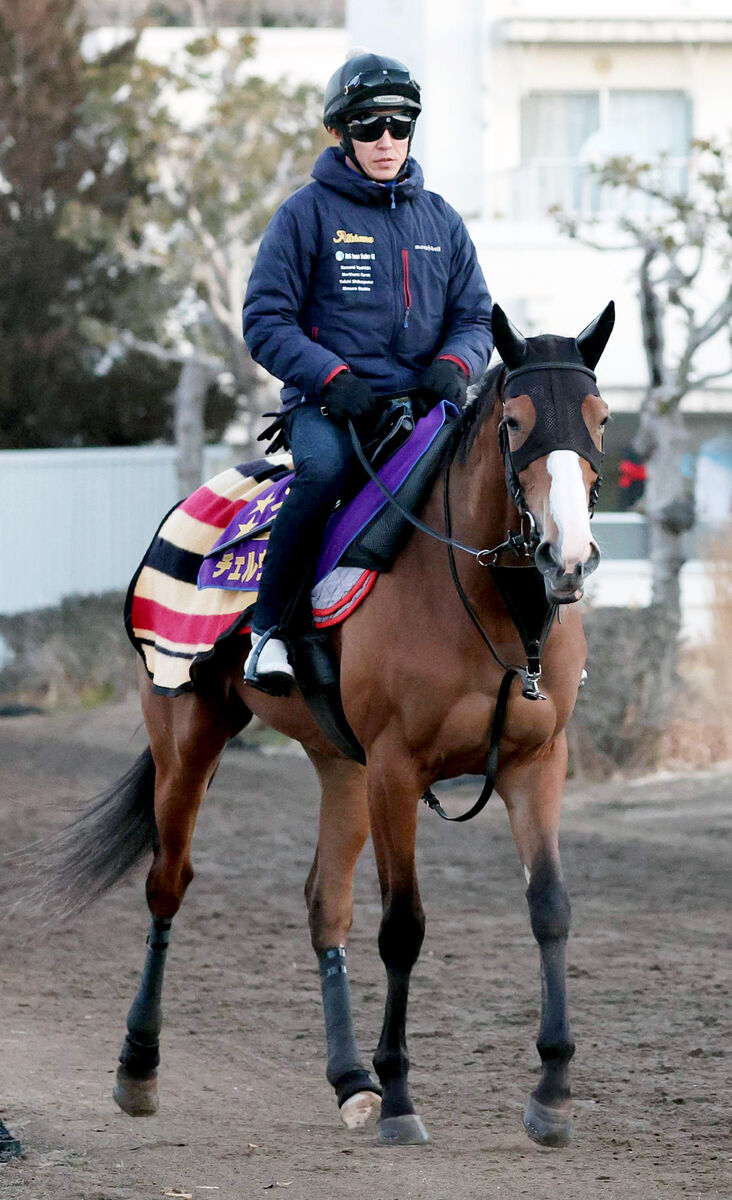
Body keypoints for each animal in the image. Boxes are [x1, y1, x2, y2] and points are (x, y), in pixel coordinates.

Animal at [45, 300, 612, 1142]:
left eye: (600, 420)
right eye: (515, 422)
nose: (566, 556)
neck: (488, 603)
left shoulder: (536, 765)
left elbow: (550, 908)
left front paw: (551, 1092)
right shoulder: (397, 769)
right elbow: (403, 926)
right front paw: (403, 1096)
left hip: (339, 765)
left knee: (325, 905)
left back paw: (349, 1080)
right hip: (188, 738)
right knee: (167, 883)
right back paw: (138, 1066)